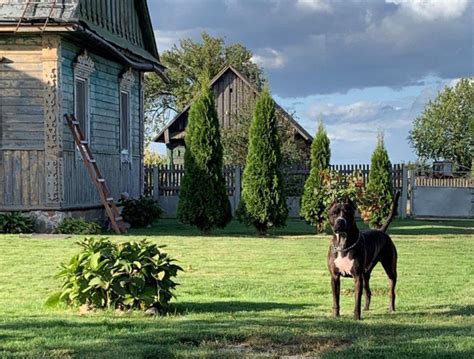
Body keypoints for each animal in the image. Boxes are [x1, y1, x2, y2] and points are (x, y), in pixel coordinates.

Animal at [330, 193, 400, 322]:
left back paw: (391, 308)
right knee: (368, 291)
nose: (340, 221)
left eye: (347, 213)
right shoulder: (335, 277)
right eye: (334, 213)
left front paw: (356, 317)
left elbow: (357, 299)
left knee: (391, 290)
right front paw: (336, 315)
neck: (343, 244)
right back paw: (366, 308)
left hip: (390, 270)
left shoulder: (357, 277)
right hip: (366, 273)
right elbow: (336, 299)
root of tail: (381, 231)